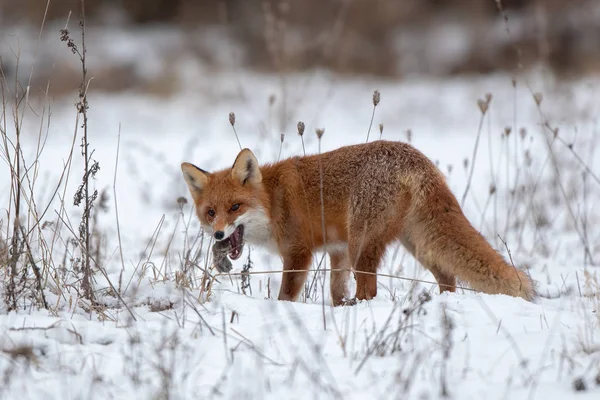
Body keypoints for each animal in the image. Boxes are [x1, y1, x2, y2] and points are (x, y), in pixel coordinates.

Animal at [180, 139, 536, 304]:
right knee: (447, 276)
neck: (272, 200)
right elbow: (335, 289)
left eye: (235, 207)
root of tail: (416, 157)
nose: (218, 235)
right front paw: (338, 309)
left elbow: (286, 295)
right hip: (415, 244)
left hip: (363, 245)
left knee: (371, 290)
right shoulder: (337, 251)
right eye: (211, 212)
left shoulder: (299, 253)